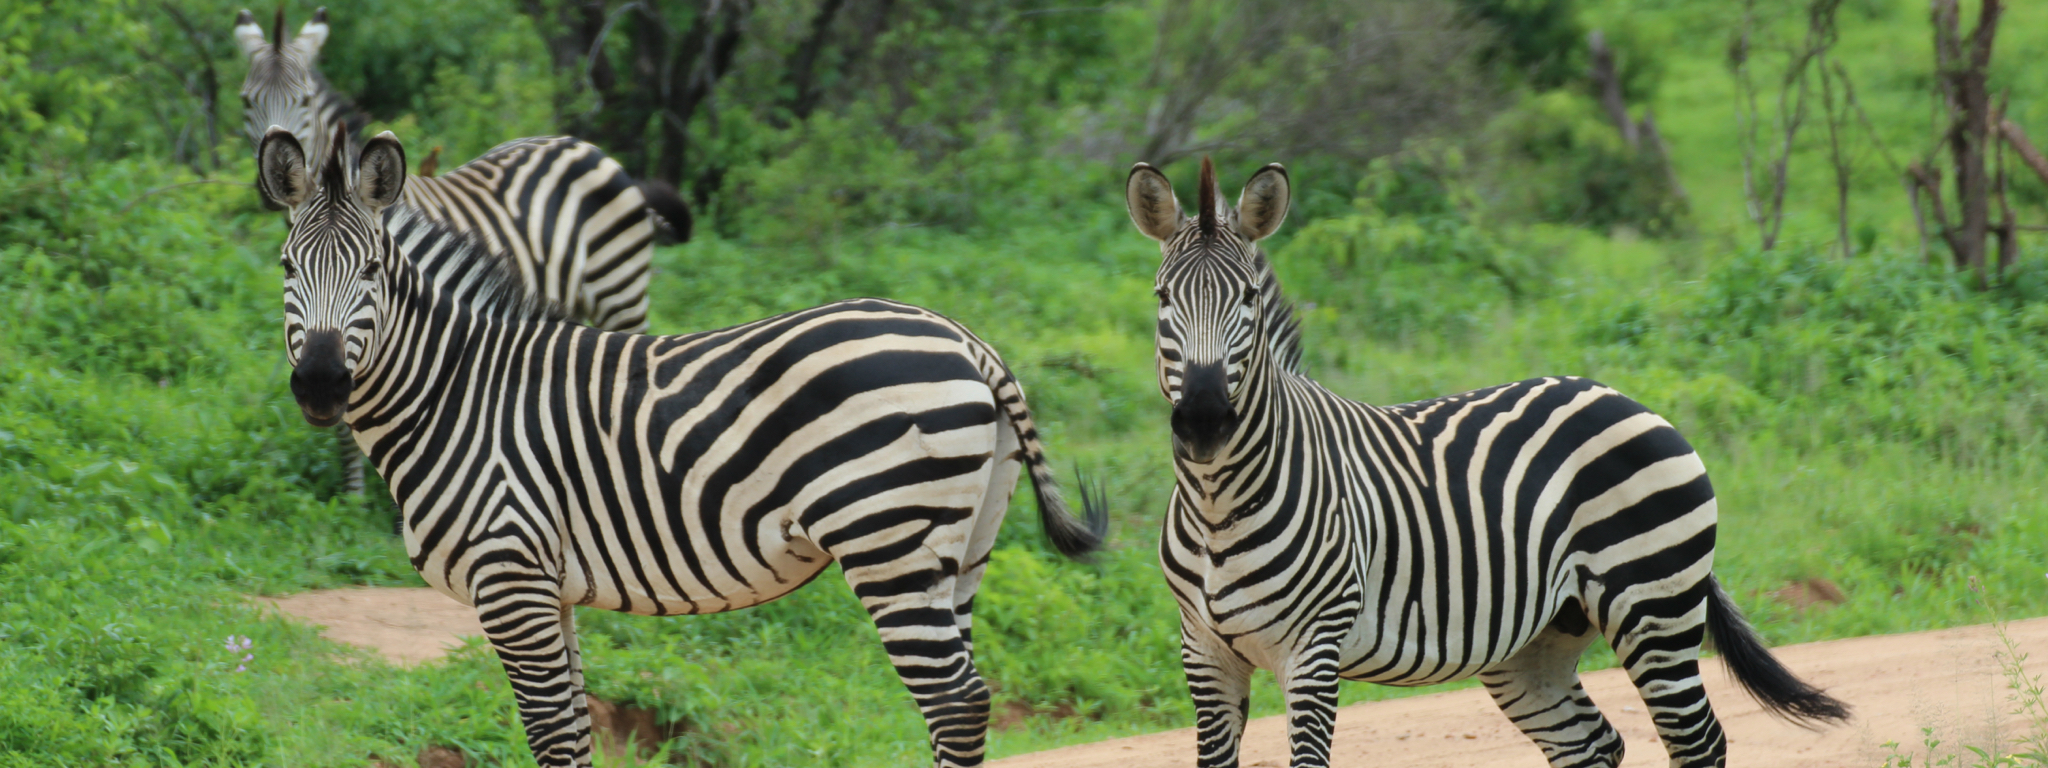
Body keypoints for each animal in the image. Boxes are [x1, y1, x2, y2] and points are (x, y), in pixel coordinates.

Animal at [256, 126, 1114, 768]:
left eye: (372, 270)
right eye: (286, 266)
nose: (322, 385)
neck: (454, 394)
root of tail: (967, 340)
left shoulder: (510, 578)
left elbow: (549, 735)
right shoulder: (549, 586)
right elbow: (574, 732)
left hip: (888, 540)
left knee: (952, 701)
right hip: (962, 549)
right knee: (968, 697)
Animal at [1130, 157, 1851, 768]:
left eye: (1248, 298)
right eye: (1162, 298)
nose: (1203, 420)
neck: (1220, 502)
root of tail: (1620, 396)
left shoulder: (1313, 648)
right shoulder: (1203, 653)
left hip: (1655, 605)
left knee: (1698, 743)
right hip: (1536, 644)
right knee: (1593, 745)